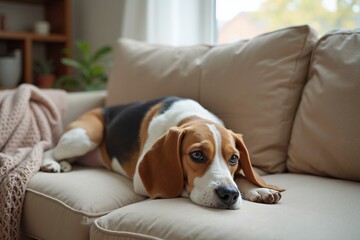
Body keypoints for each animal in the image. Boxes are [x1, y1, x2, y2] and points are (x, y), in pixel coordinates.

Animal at [41, 96, 284, 209]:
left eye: (234, 158)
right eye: (197, 155)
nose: (229, 195)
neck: (191, 116)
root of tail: (99, 107)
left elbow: (241, 175)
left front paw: (257, 189)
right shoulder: (142, 180)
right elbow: (180, 186)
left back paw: (64, 164)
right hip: (84, 137)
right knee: (49, 148)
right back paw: (51, 163)